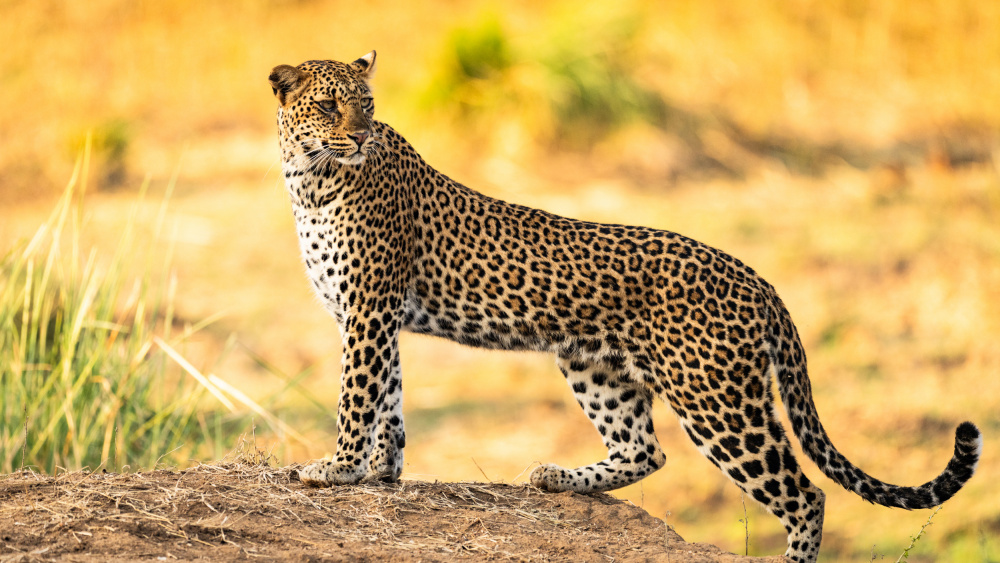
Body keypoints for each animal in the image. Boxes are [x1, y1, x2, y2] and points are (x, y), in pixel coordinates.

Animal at [267, 52, 981, 562]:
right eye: (330, 104)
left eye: (365, 103)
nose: (359, 136)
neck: (308, 179)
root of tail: (756, 279)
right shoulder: (374, 316)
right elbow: (386, 397)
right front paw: (378, 472)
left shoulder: (369, 310)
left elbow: (357, 394)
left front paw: (336, 469)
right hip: (596, 366)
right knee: (645, 450)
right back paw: (556, 477)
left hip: (718, 398)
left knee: (803, 494)